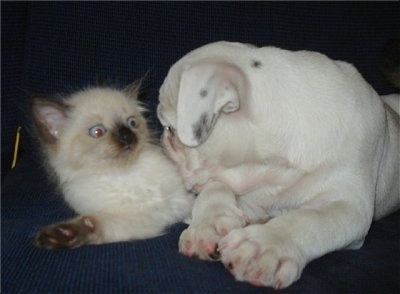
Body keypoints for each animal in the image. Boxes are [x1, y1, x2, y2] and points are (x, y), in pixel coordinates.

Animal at [31, 81, 194, 250]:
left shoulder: (182, 200)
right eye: (97, 132)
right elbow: (95, 223)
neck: (124, 173)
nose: (127, 136)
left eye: (132, 123)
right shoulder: (150, 216)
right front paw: (61, 235)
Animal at [157, 41, 400, 290]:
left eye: (170, 130)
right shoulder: (250, 197)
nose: (162, 144)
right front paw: (207, 225)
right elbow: (214, 189)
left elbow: (312, 219)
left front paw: (265, 246)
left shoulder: (350, 205)